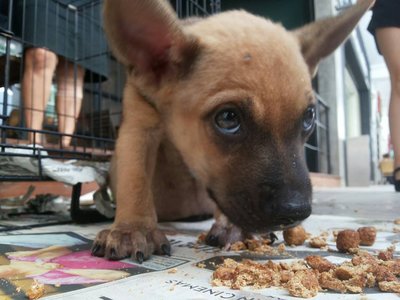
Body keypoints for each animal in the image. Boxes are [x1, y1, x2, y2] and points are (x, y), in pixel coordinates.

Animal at [92, 0, 374, 262]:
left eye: (309, 117)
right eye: (228, 118)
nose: (296, 213)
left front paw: (232, 227)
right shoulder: (139, 128)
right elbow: (135, 178)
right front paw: (133, 229)